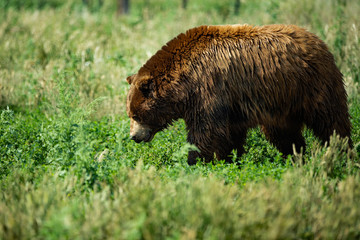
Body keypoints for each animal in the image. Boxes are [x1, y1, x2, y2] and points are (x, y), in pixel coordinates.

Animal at [126, 24, 352, 165]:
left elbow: (206, 130)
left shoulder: (208, 88)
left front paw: (196, 161)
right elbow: (230, 134)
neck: (184, 82)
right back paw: (295, 155)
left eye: (136, 115)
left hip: (312, 84)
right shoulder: (231, 104)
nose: (133, 137)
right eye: (130, 114)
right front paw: (230, 159)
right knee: (284, 132)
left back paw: (342, 152)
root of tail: (318, 40)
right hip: (281, 100)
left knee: (331, 120)